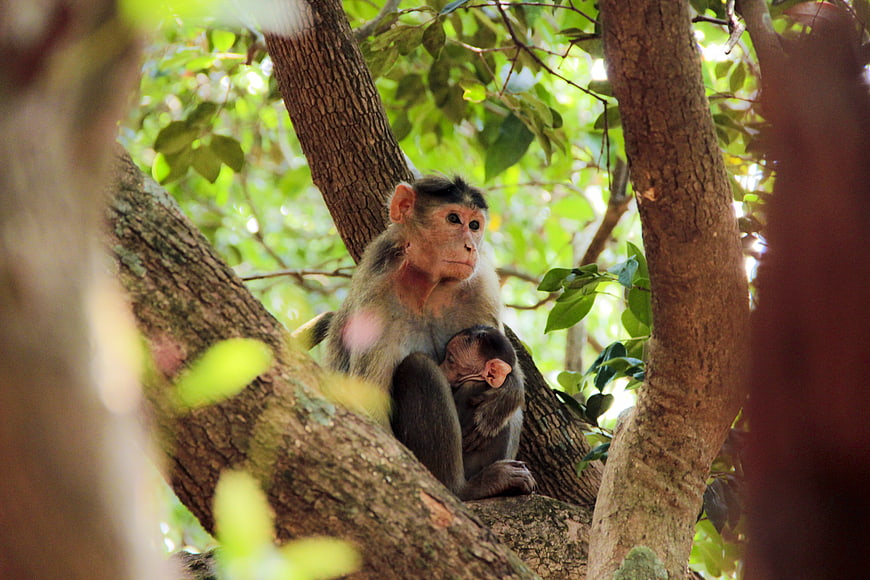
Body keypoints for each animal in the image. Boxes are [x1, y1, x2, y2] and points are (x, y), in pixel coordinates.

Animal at [324, 175, 533, 500]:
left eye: (475, 225)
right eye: (453, 219)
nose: (470, 246)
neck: (426, 288)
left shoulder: (480, 284)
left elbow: (504, 358)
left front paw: (506, 394)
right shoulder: (374, 300)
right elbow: (370, 406)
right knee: (418, 367)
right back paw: (464, 489)